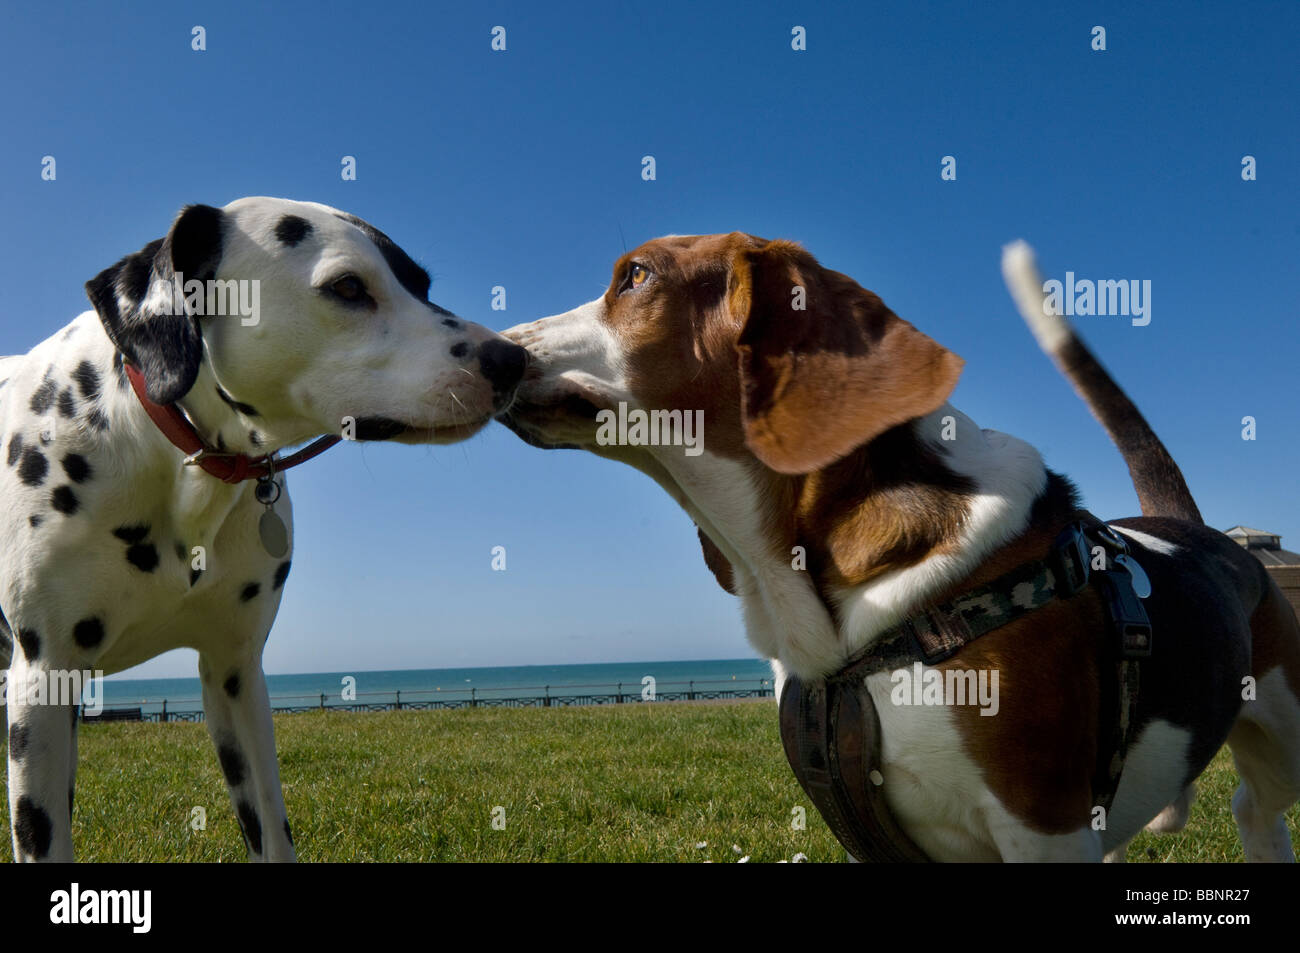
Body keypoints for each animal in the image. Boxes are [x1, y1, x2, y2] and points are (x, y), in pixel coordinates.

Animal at [1, 198, 527, 863]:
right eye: (348, 286)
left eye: (421, 285)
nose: (513, 360)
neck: (179, 459)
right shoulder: (42, 681)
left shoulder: (236, 677)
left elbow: (272, 829)